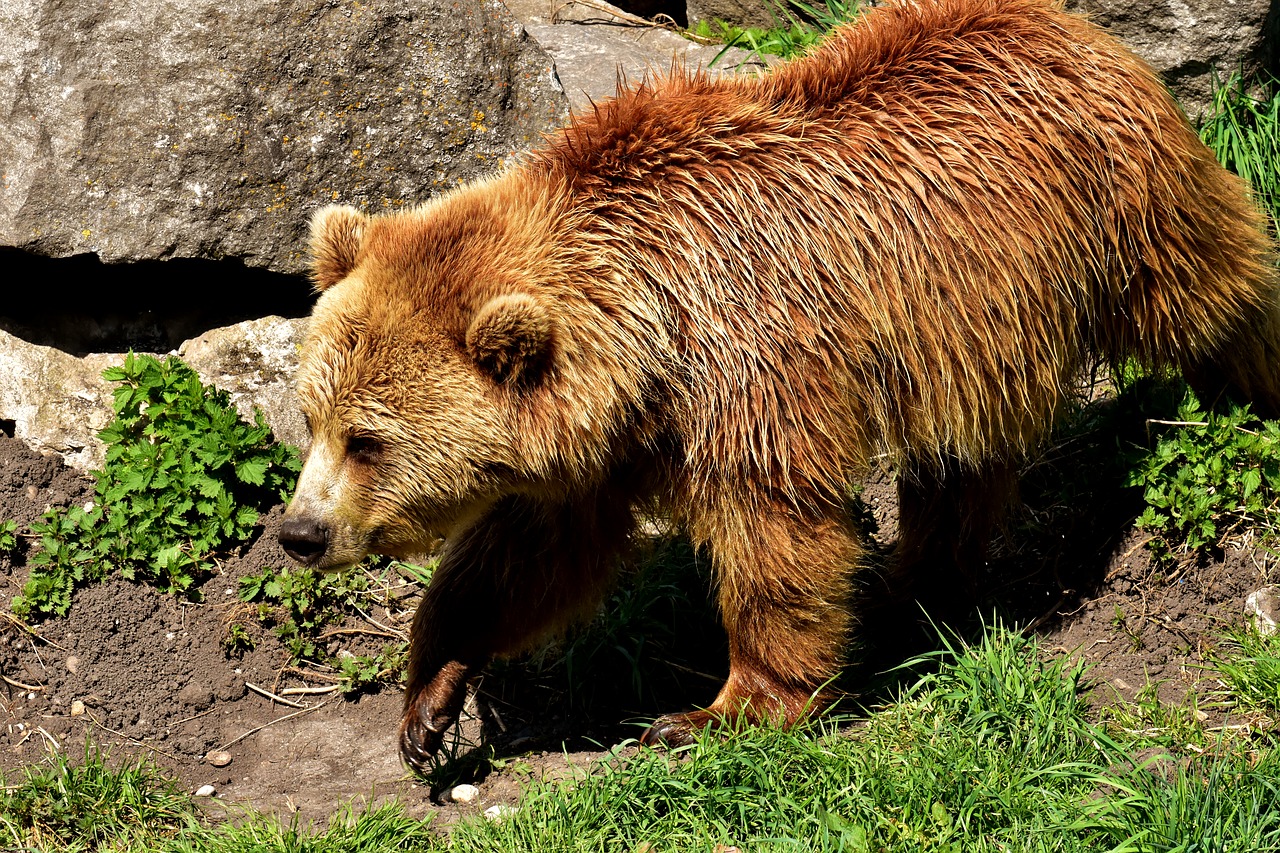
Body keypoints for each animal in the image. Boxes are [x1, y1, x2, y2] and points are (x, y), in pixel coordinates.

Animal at [280, 0, 1280, 768]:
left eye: (369, 440)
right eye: (313, 418)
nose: (298, 533)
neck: (648, 322)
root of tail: (1074, 24)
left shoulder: (751, 365)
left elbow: (775, 531)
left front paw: (715, 710)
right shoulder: (605, 440)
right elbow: (531, 554)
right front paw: (430, 699)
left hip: (1125, 204)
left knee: (1217, 293)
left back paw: (1254, 388)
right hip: (968, 333)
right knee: (961, 455)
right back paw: (917, 587)